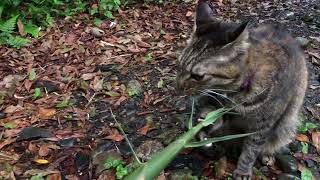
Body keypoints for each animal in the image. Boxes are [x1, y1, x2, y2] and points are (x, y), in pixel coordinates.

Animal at [176, 0, 308, 179]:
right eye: (179, 65)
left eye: (197, 76)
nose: (177, 86)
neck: (234, 93)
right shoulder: (220, 107)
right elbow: (212, 115)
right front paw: (203, 123)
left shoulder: (262, 126)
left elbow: (251, 150)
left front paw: (243, 170)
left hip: (286, 123)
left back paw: (266, 155)